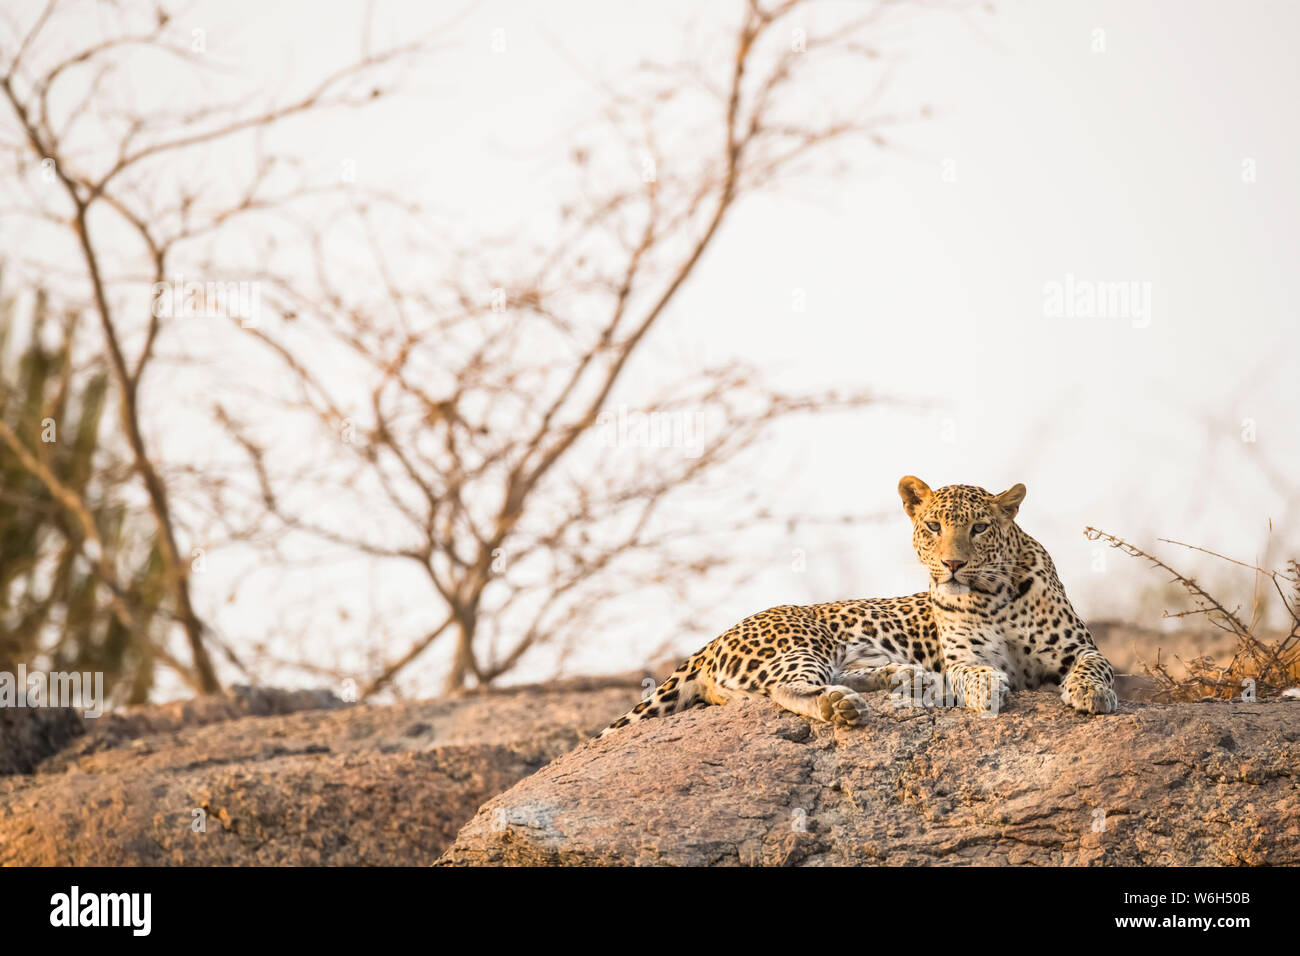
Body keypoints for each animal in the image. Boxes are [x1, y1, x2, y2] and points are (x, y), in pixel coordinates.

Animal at [598, 478, 1118, 738]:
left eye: (980, 528)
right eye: (933, 526)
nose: (952, 564)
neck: (992, 595)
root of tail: (711, 642)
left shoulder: (1080, 647)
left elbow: (1096, 667)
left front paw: (1092, 694)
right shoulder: (965, 657)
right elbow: (973, 671)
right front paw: (985, 688)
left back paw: (907, 676)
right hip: (803, 641)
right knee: (786, 690)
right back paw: (843, 705)